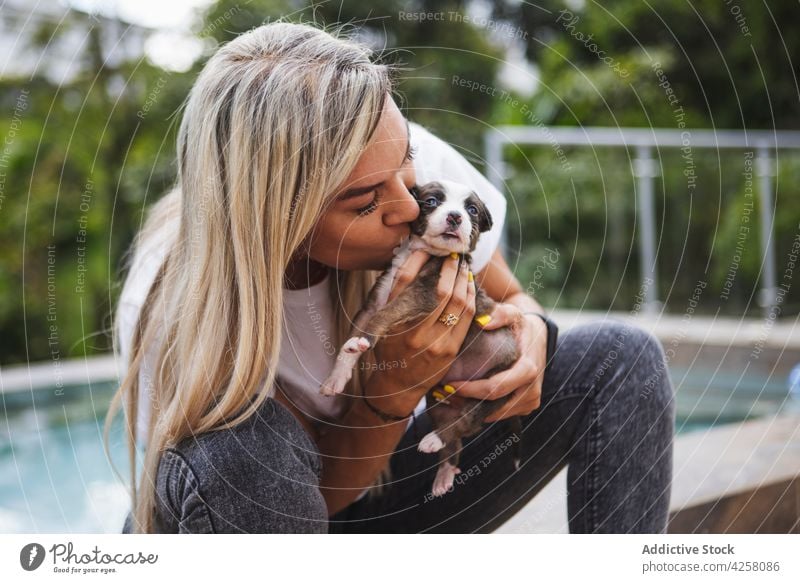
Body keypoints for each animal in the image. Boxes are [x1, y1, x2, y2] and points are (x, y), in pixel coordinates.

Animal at [322, 179, 520, 498]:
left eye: (472, 210)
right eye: (431, 202)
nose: (455, 217)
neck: (426, 251)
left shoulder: (423, 295)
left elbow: (386, 314)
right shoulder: (374, 301)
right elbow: (357, 334)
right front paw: (336, 378)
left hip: (497, 388)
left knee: (469, 421)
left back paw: (434, 440)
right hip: (438, 401)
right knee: (456, 439)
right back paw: (444, 474)